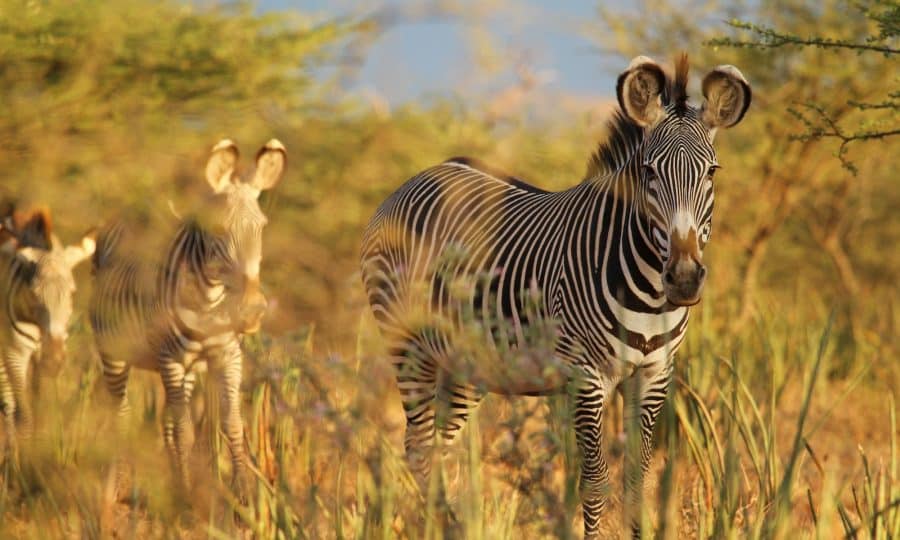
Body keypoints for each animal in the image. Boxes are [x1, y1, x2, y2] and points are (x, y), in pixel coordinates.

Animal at [1, 207, 96, 450]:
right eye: (33, 293)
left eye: (72, 293)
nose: (53, 359)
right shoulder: (15, 352)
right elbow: (24, 419)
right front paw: (22, 457)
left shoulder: (43, 361)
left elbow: (40, 414)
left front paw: (38, 449)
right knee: (8, 402)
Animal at [90, 139, 286, 492]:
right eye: (219, 229)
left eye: (262, 226)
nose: (251, 312)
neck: (209, 304)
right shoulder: (171, 360)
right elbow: (184, 432)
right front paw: (185, 494)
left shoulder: (228, 356)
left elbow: (232, 423)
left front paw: (242, 493)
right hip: (115, 353)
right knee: (122, 416)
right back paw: (119, 483)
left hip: (185, 368)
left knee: (165, 421)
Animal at [360, 54, 751, 537]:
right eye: (648, 171)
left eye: (712, 172)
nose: (683, 278)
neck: (649, 295)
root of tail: (422, 175)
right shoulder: (586, 377)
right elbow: (596, 481)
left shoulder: (655, 375)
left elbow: (638, 480)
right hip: (408, 345)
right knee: (417, 447)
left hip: (466, 363)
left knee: (437, 448)